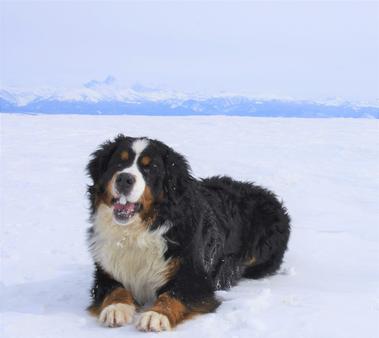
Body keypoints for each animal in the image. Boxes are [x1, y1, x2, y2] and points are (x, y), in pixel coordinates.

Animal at [86, 135, 290, 332]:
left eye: (150, 168)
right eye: (118, 163)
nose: (124, 179)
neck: (138, 233)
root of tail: (264, 191)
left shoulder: (195, 277)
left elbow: (173, 295)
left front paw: (155, 315)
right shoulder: (105, 272)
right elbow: (114, 289)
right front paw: (115, 308)